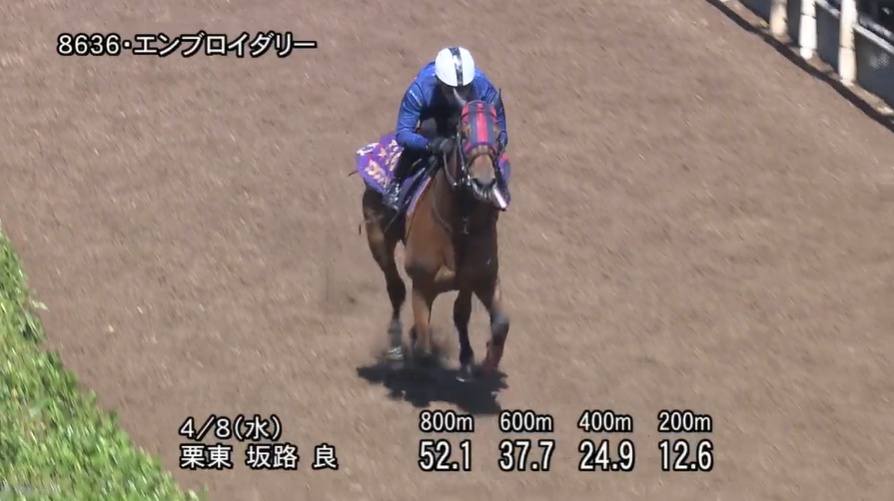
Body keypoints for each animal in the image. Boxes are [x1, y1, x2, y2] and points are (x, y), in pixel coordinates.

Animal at [356, 99, 511, 380]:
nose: (483, 182)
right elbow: (425, 350)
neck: (459, 225)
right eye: (463, 133)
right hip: (378, 239)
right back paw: (396, 346)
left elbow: (493, 321)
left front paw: (480, 363)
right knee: (396, 289)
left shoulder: (482, 279)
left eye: (496, 133)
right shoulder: (422, 286)